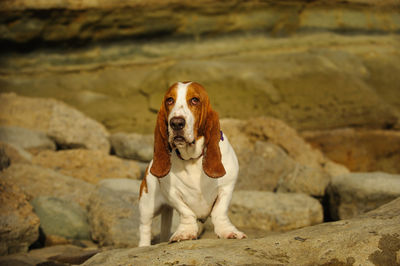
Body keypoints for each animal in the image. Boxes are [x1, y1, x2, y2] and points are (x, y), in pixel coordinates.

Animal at [139, 81, 245, 247]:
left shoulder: (227, 188)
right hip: (147, 204)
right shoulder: (173, 194)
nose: (176, 123)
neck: (192, 159)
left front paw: (229, 232)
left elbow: (219, 211)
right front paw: (185, 233)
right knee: (145, 227)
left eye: (195, 100)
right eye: (169, 100)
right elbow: (186, 213)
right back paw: (143, 246)